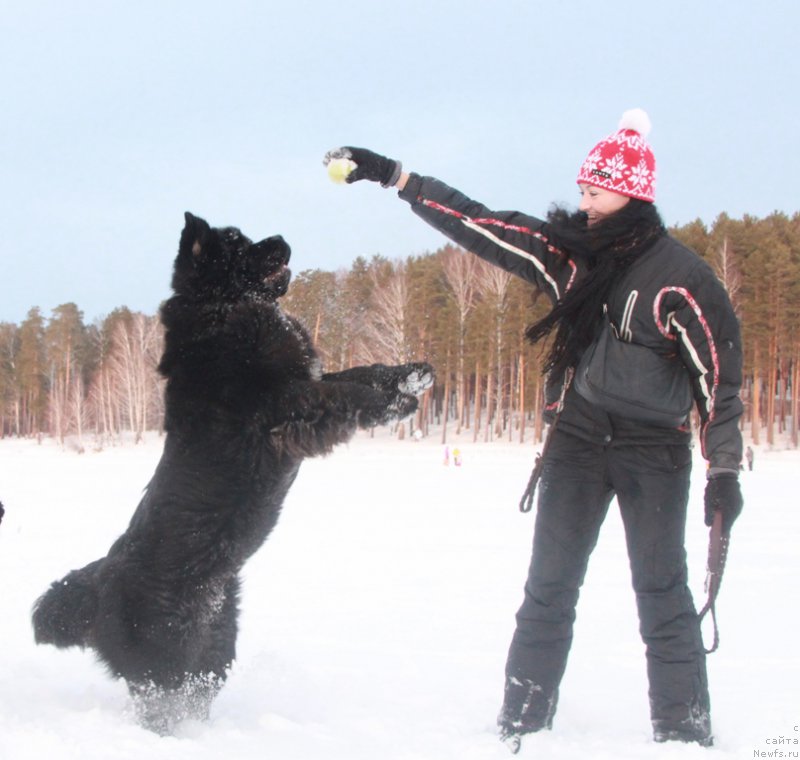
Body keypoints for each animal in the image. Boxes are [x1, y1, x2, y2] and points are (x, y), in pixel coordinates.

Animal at [32, 211, 432, 732]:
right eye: (238, 243)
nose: (282, 237)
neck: (226, 311)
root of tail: (98, 582)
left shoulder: (305, 379)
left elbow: (359, 371)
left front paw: (411, 374)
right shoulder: (286, 405)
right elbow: (346, 394)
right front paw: (397, 402)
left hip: (213, 651)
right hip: (164, 665)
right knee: (160, 708)